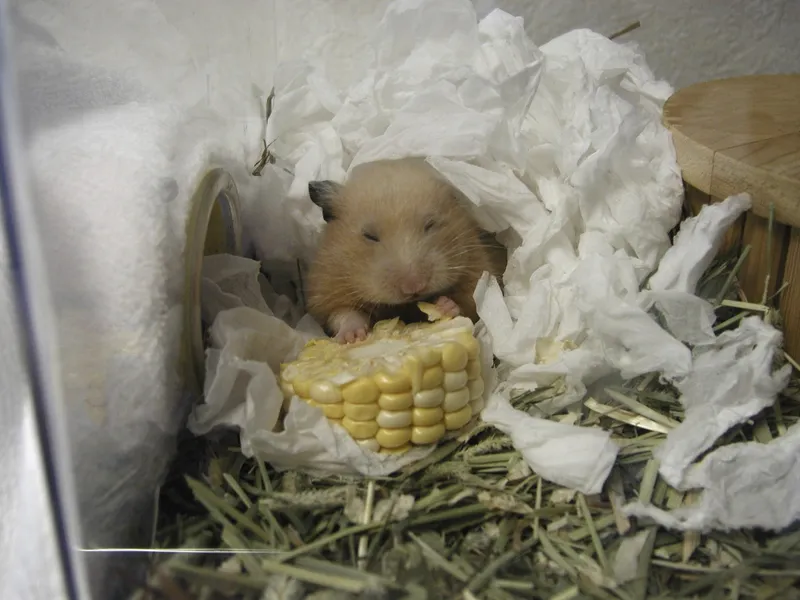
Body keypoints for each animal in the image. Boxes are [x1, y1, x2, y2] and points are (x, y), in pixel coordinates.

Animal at [305, 157, 506, 343]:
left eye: (431, 225)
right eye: (369, 236)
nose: (414, 287)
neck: (406, 304)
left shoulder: (478, 264)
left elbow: (469, 304)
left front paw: (444, 306)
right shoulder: (327, 288)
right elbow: (342, 312)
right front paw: (352, 338)